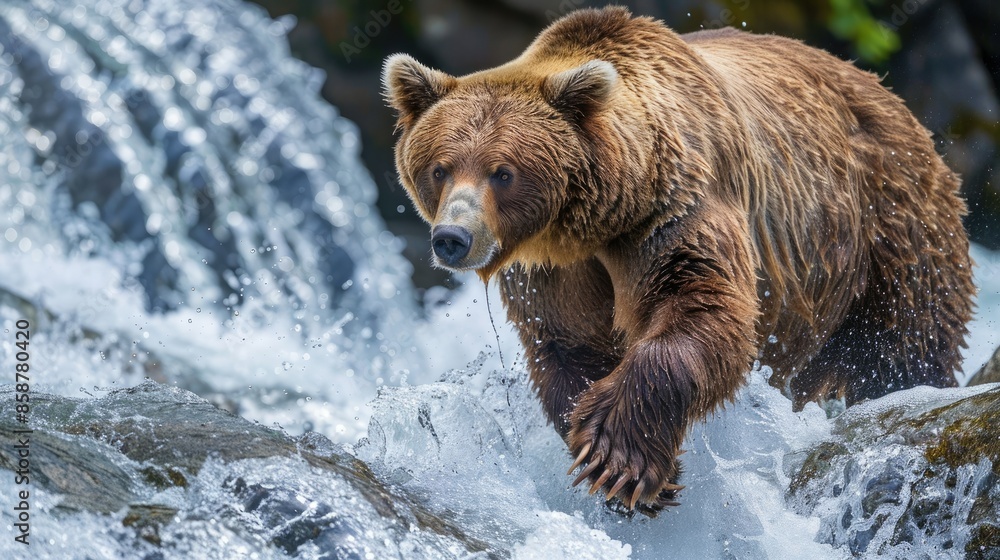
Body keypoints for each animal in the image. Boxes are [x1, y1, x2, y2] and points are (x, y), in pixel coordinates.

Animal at [382, 7, 974, 515]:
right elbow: (568, 344)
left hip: (888, 224)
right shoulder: (551, 270)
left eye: (502, 172)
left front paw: (619, 458)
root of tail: (884, 89)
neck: (598, 217)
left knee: (907, 340)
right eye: (440, 167)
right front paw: (621, 462)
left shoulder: (675, 210)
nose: (453, 237)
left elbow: (701, 307)